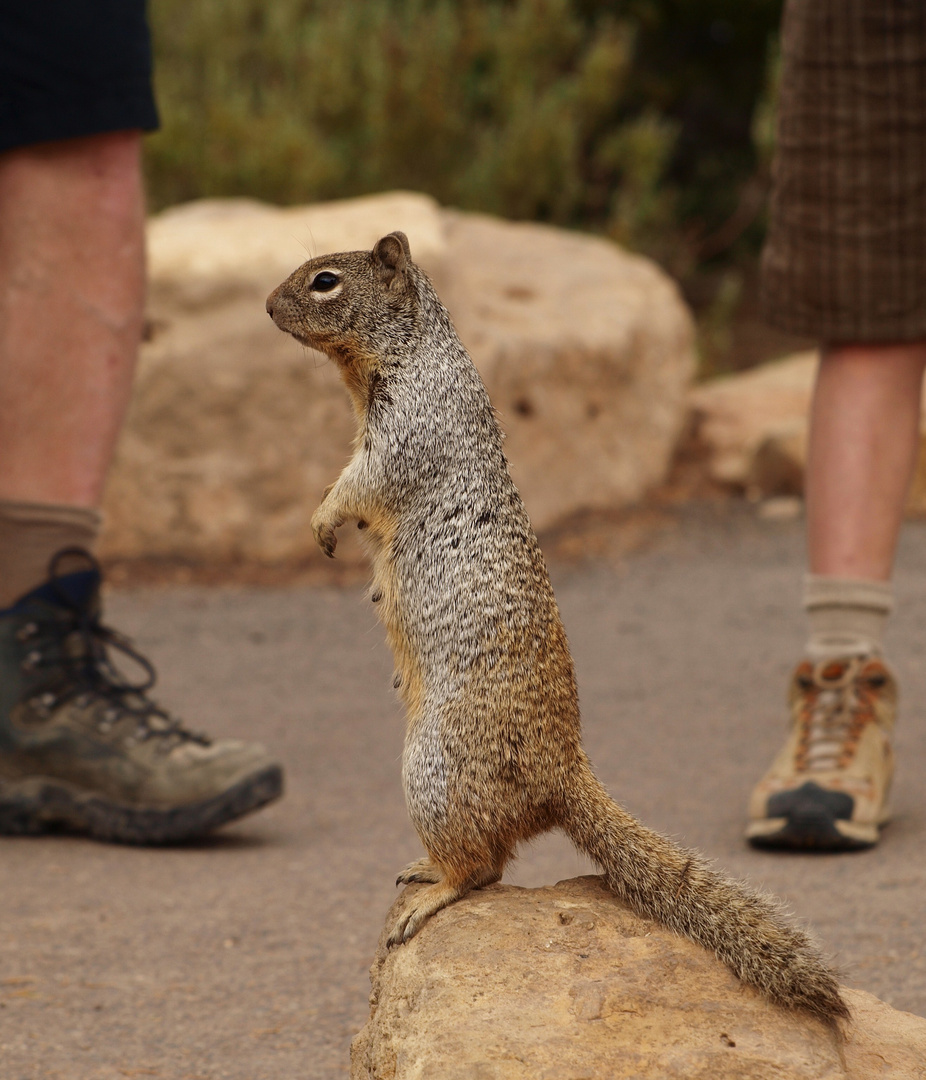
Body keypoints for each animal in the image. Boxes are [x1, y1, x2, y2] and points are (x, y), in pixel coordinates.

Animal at [263, 232, 847, 1023]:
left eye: (325, 281)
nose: (267, 305)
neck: (412, 355)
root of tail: (561, 773)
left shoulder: (406, 433)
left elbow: (357, 485)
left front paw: (321, 522)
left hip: (434, 770)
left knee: (482, 866)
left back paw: (433, 890)